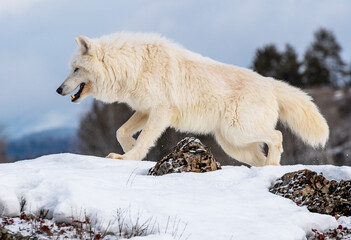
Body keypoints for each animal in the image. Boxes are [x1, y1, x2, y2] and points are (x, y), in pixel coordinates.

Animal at [55, 31, 330, 167]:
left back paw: (273, 166)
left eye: (75, 69)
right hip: (233, 144)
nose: (58, 90)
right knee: (262, 154)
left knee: (278, 136)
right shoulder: (145, 110)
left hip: (237, 132)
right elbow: (121, 132)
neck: (133, 65)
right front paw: (128, 150)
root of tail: (270, 83)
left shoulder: (161, 112)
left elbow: (144, 139)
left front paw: (129, 158)